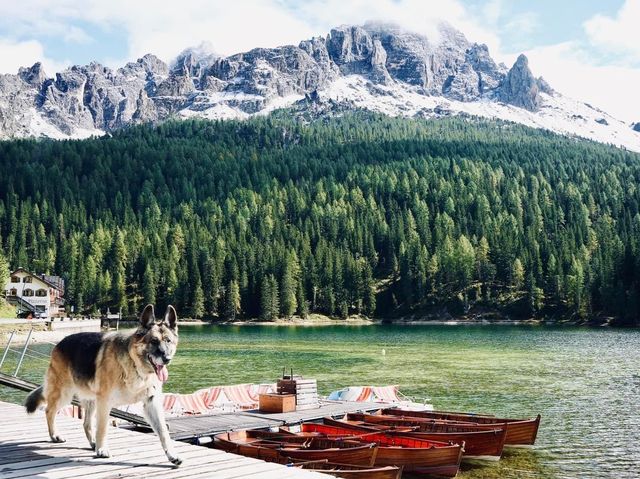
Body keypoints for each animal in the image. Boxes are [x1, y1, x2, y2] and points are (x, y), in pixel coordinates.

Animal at [24, 306, 181, 466]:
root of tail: (60, 343)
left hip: (91, 401)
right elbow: (103, 428)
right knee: (49, 411)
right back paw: (55, 435)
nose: (167, 359)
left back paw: (93, 443)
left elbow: (163, 431)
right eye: (154, 341)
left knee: (86, 423)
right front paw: (102, 450)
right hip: (64, 394)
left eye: (168, 341)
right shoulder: (105, 402)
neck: (135, 365)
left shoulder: (151, 403)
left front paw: (172, 455)